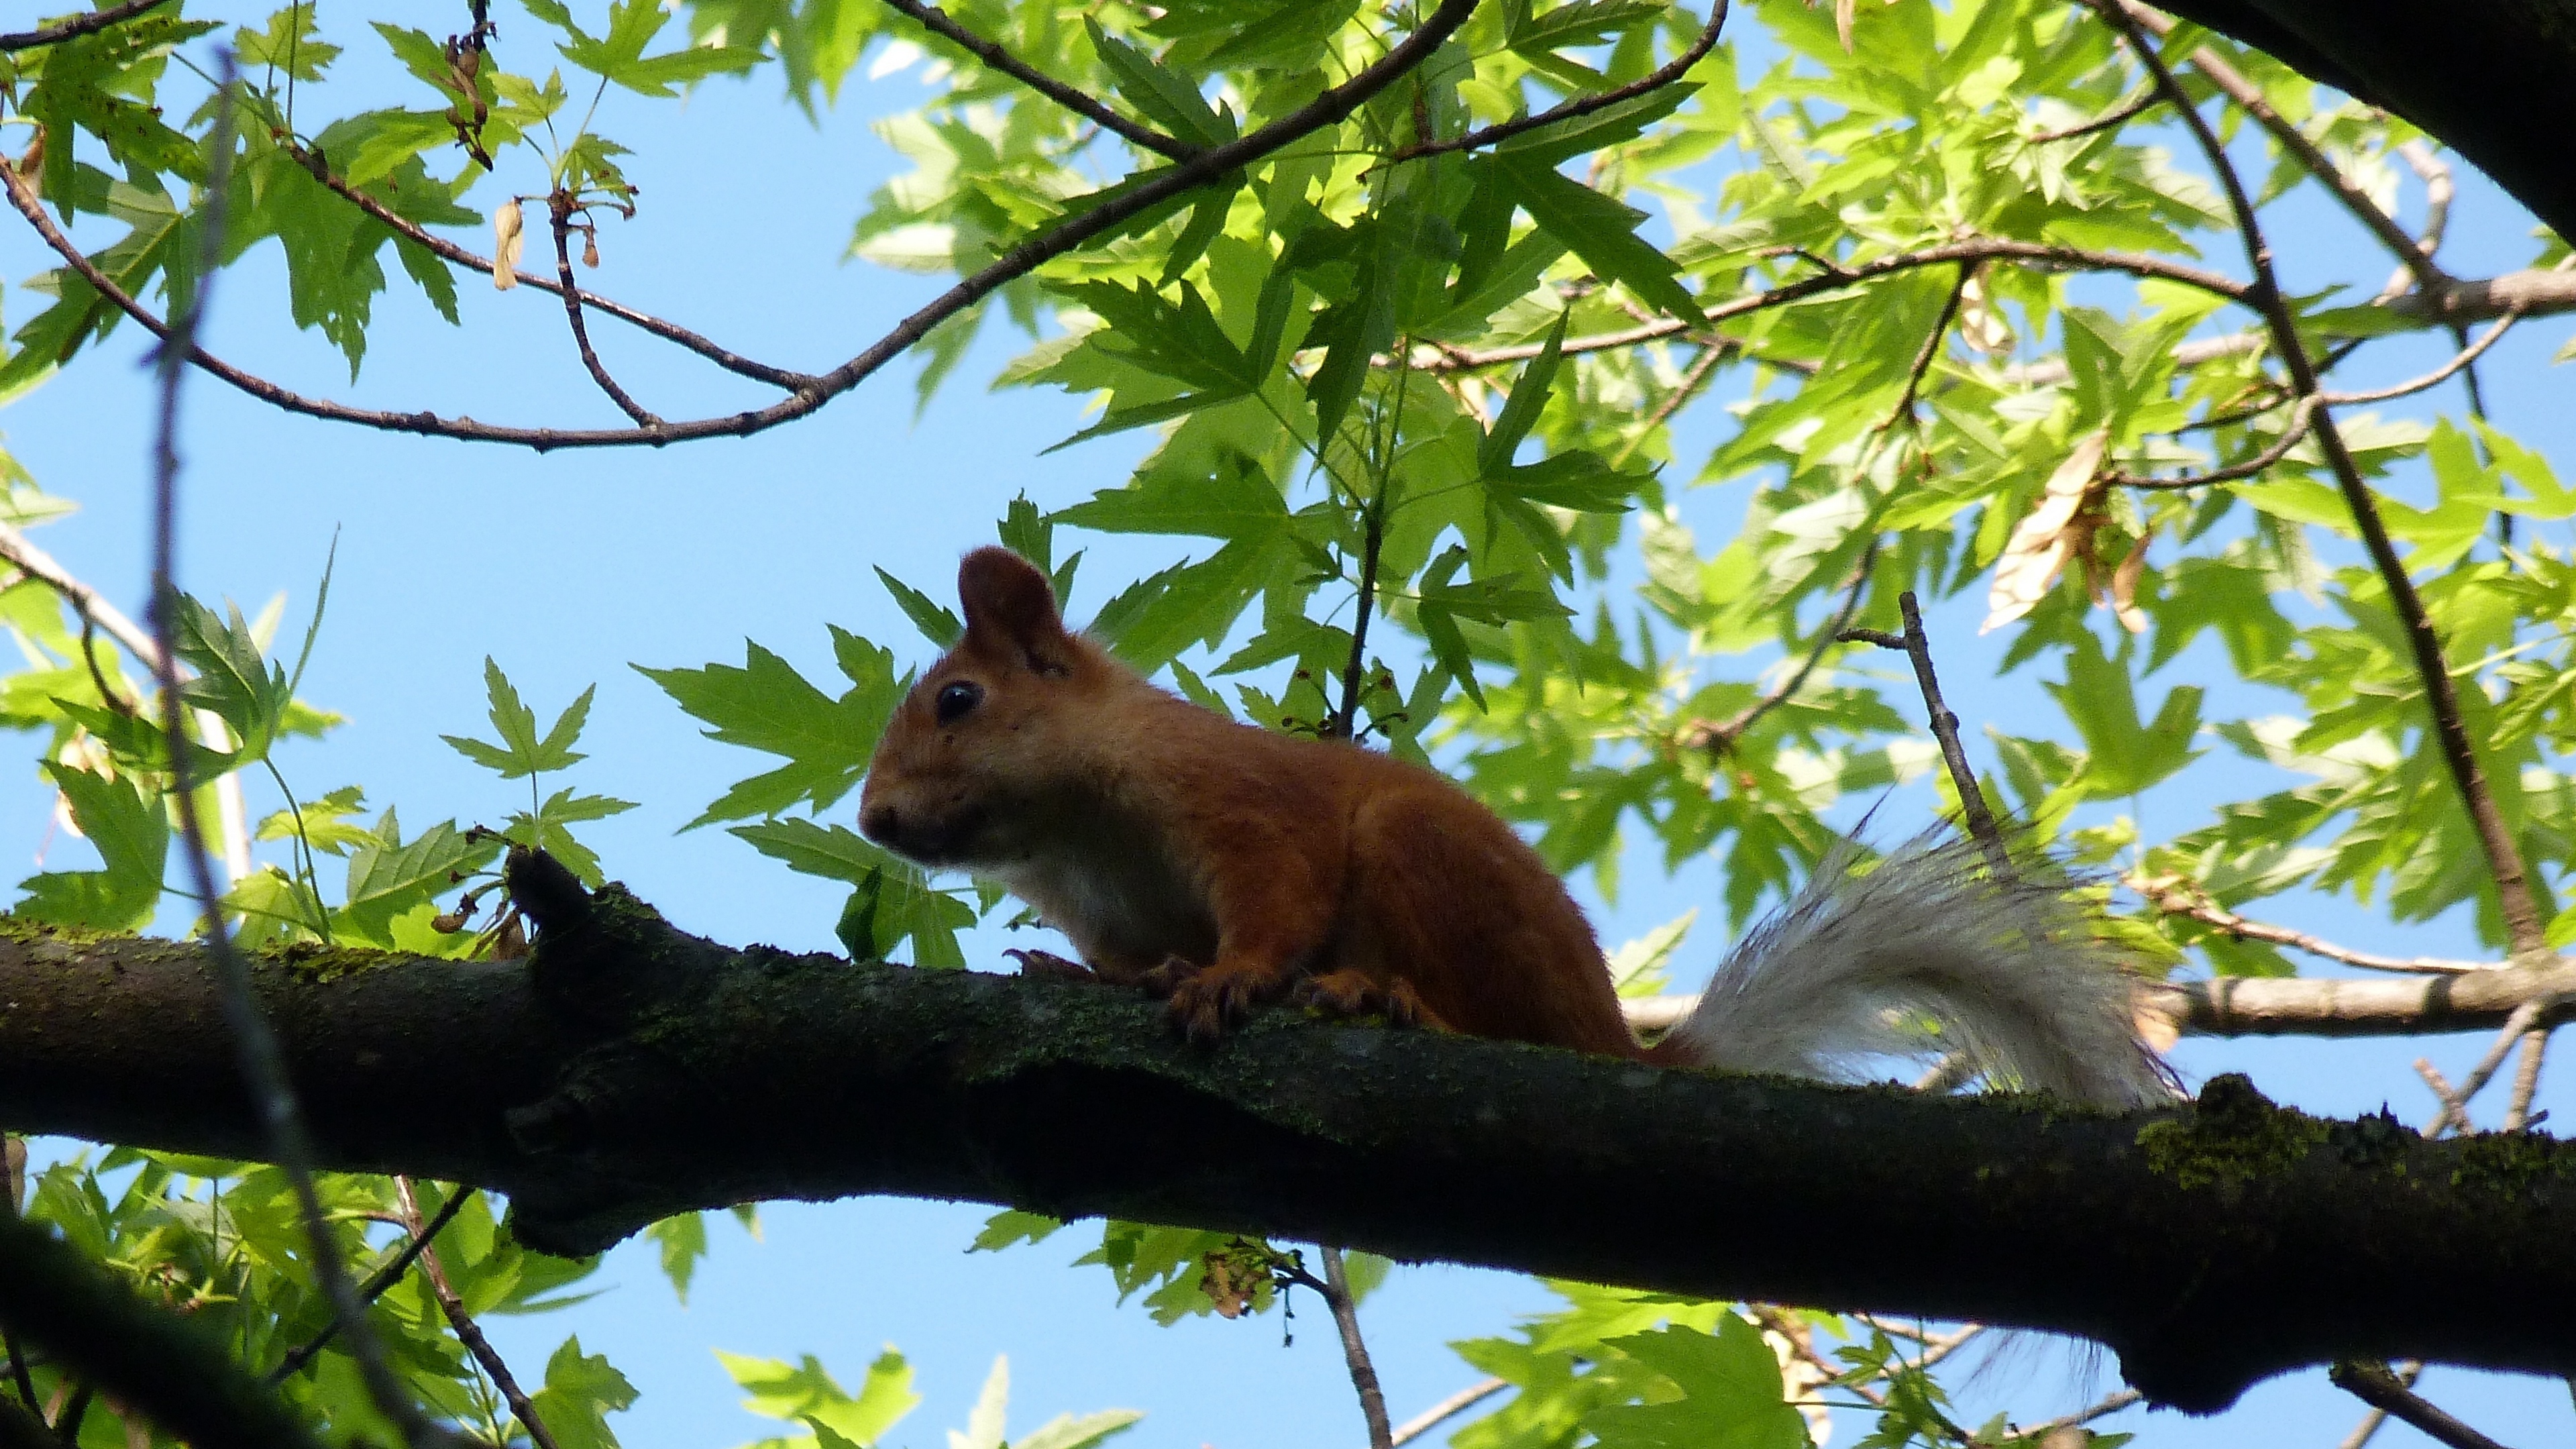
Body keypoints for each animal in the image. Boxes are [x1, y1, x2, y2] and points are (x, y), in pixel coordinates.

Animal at [855, 546, 2163, 1098]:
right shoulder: (1109, 911)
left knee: (1493, 1027)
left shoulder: (1242, 803)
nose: (871, 819)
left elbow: (1276, 900)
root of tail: (1616, 1046)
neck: (1074, 835)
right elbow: (1123, 961)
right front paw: (1073, 973)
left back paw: (1383, 999)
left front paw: (1229, 979)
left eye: (958, 700)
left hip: (1425, 867)